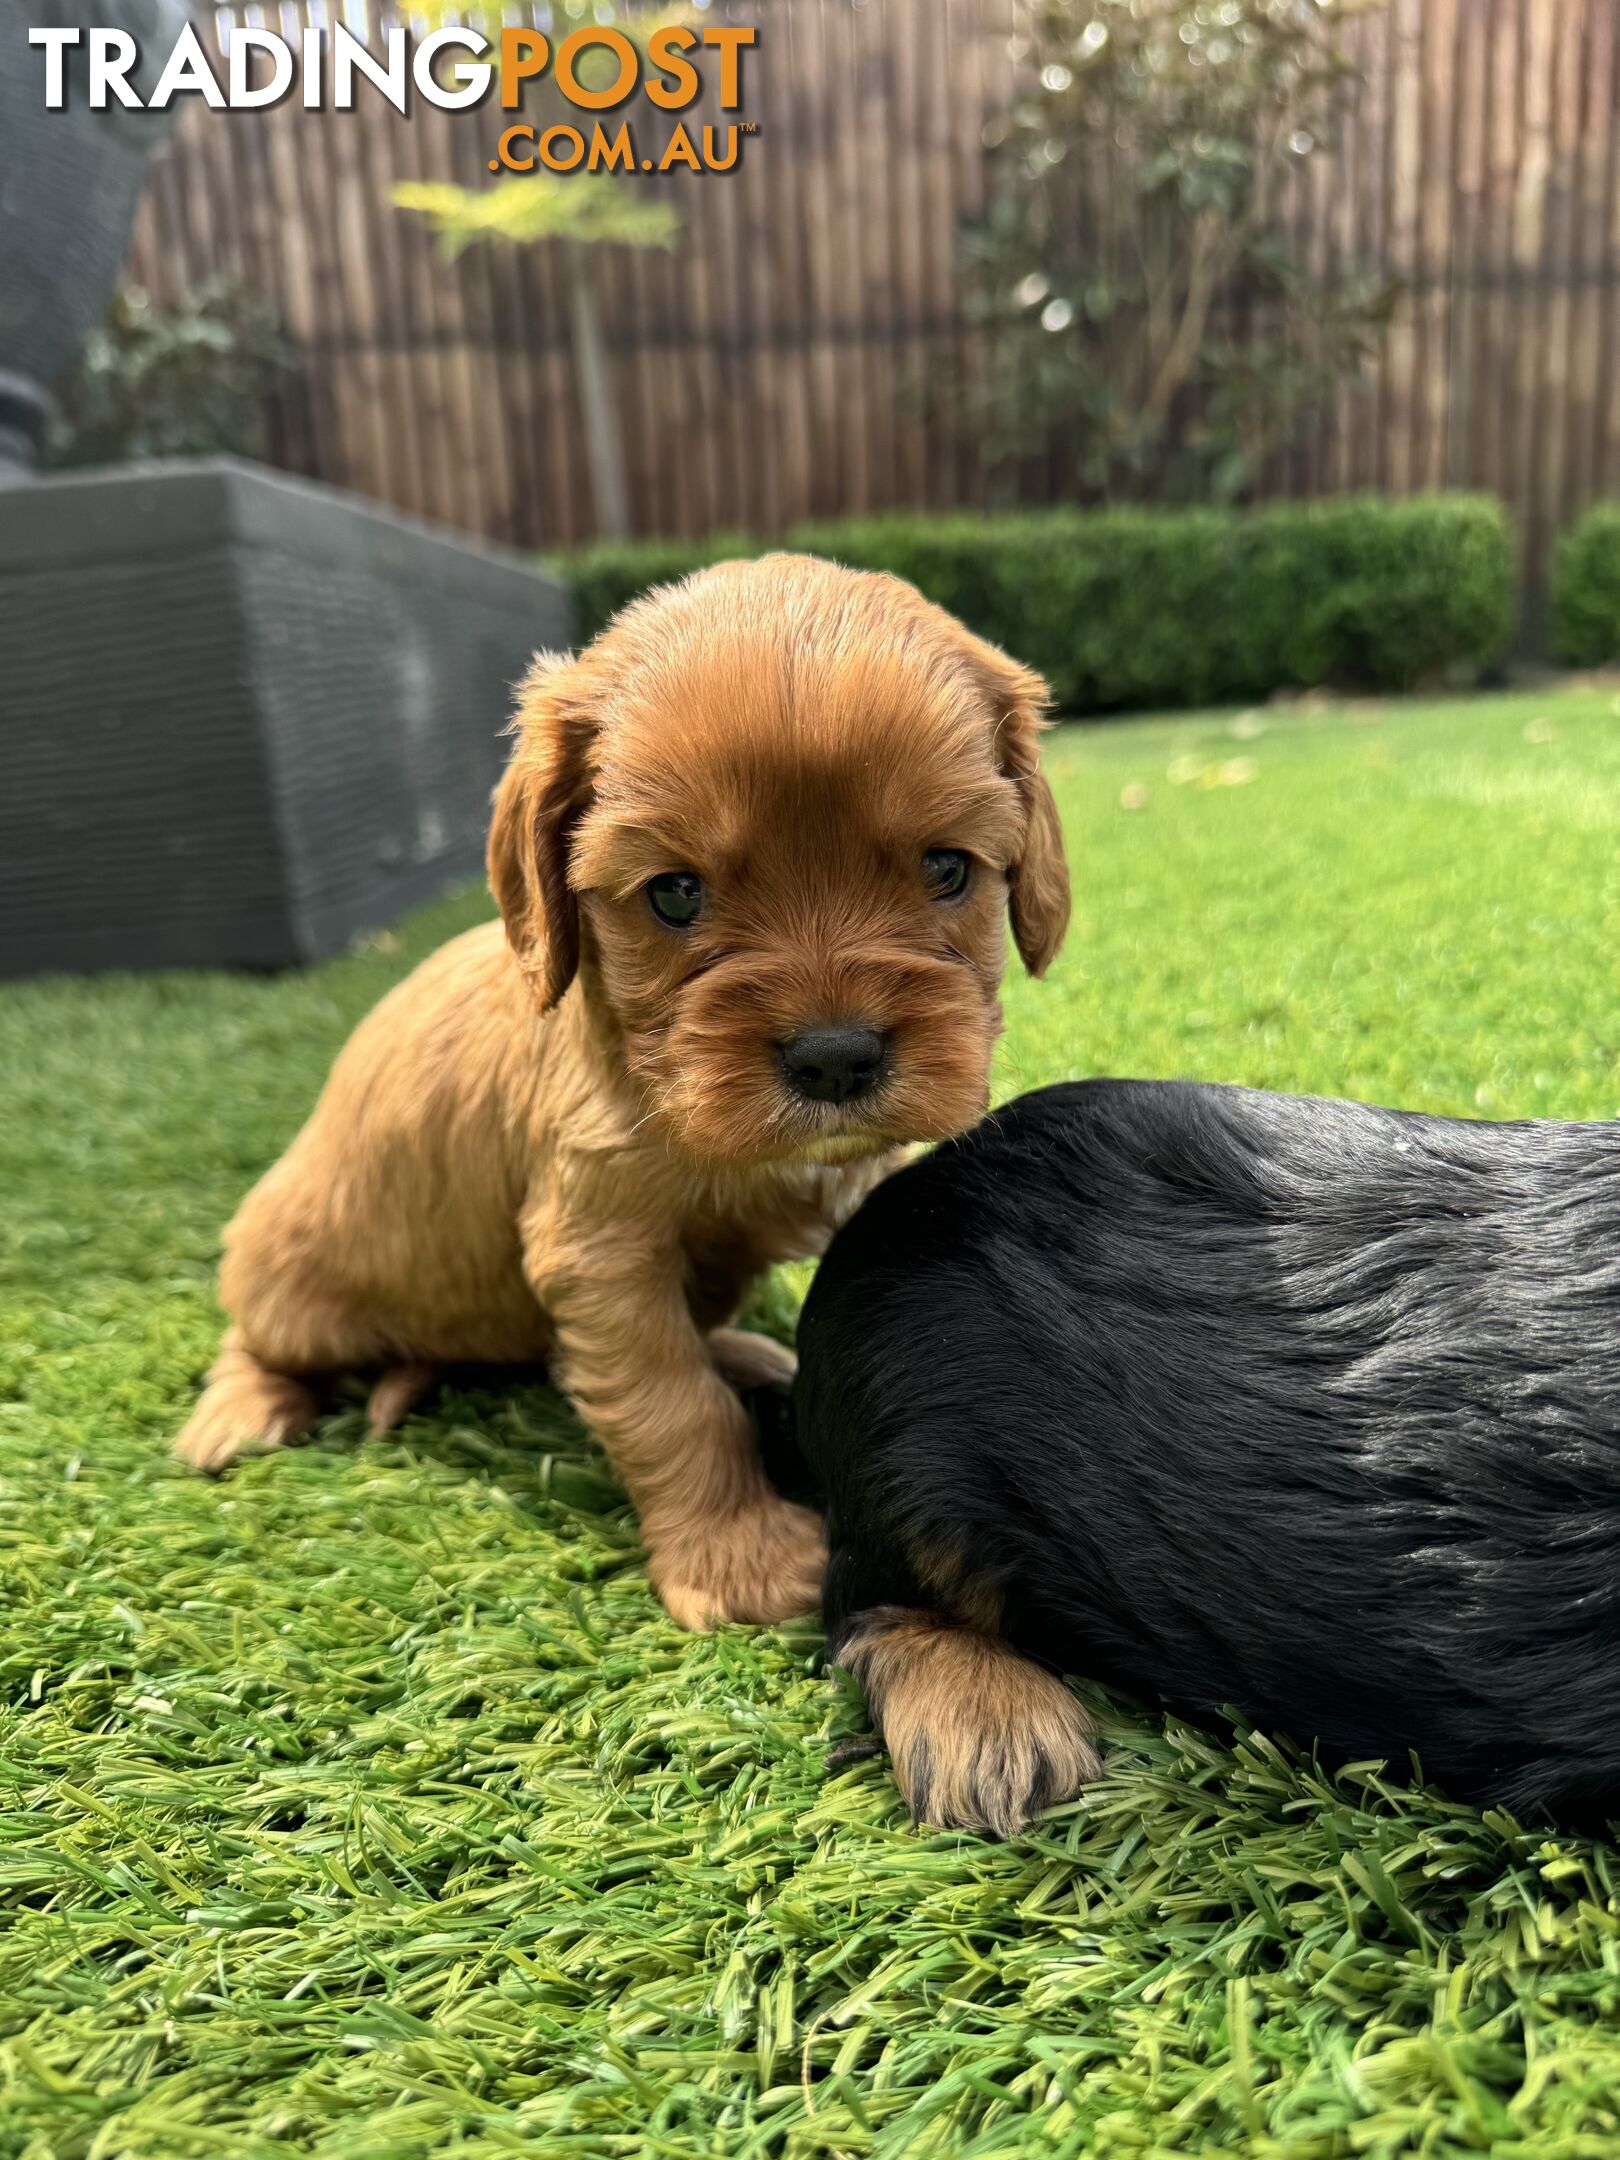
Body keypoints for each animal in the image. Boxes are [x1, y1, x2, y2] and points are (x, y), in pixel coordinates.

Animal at [174, 548, 1067, 1624]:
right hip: (294, 1268)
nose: (837, 1057)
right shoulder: (599, 1245)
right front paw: (739, 1562)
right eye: (674, 893)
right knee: (254, 1330)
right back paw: (238, 1411)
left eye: (946, 870)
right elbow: (670, 1400)